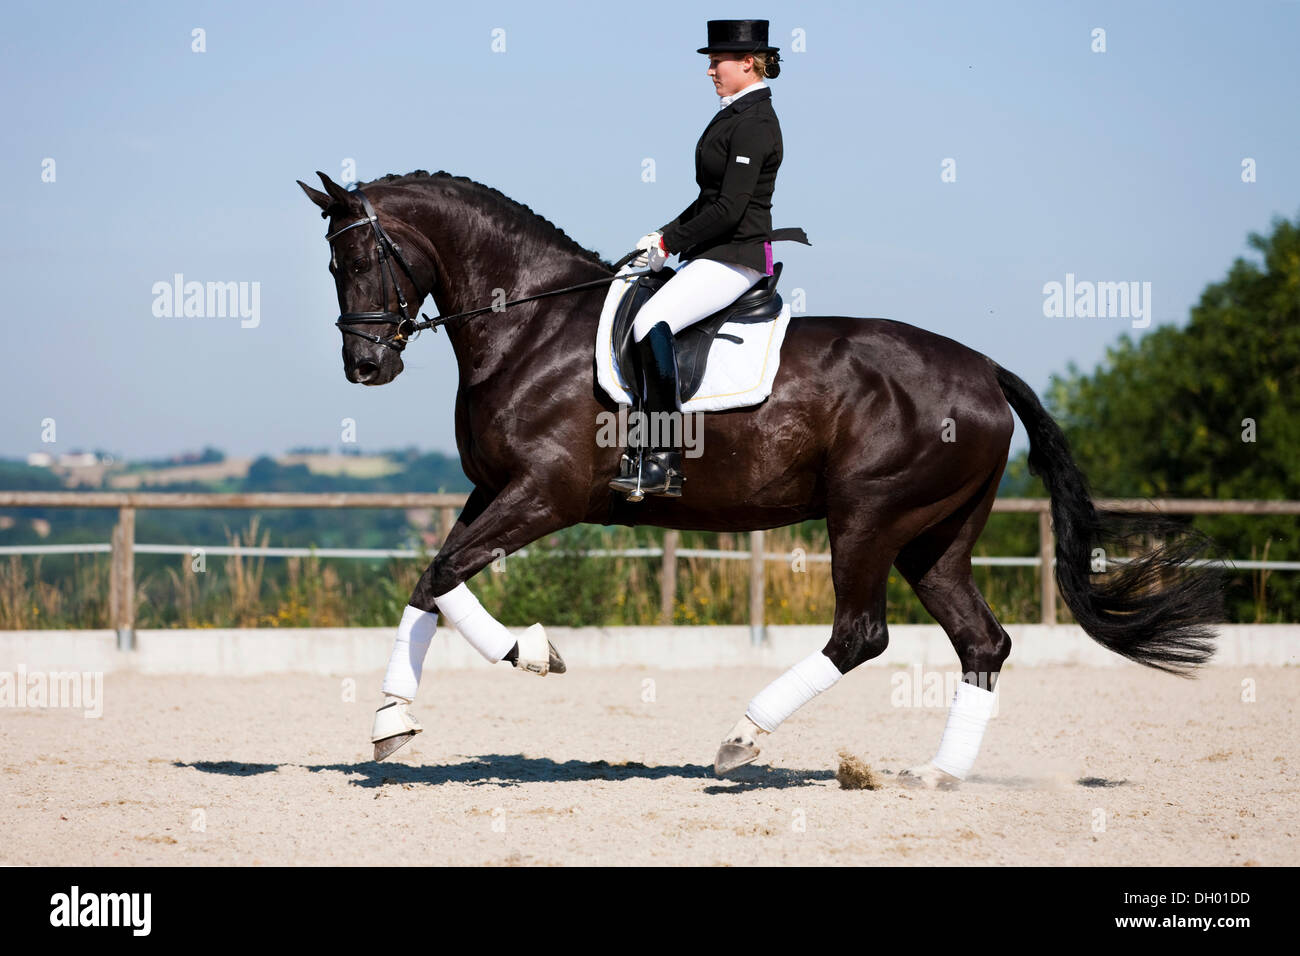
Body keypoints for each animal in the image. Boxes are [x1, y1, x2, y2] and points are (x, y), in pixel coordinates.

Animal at [299, 171, 1222, 780]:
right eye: (333, 268)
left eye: (363, 260)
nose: (364, 367)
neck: (530, 330)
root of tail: (987, 371)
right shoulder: (491, 490)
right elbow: (431, 581)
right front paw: (393, 721)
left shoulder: (545, 494)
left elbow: (443, 576)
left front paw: (531, 652)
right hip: (935, 538)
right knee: (980, 642)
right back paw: (938, 775)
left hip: (868, 516)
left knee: (862, 635)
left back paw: (742, 739)